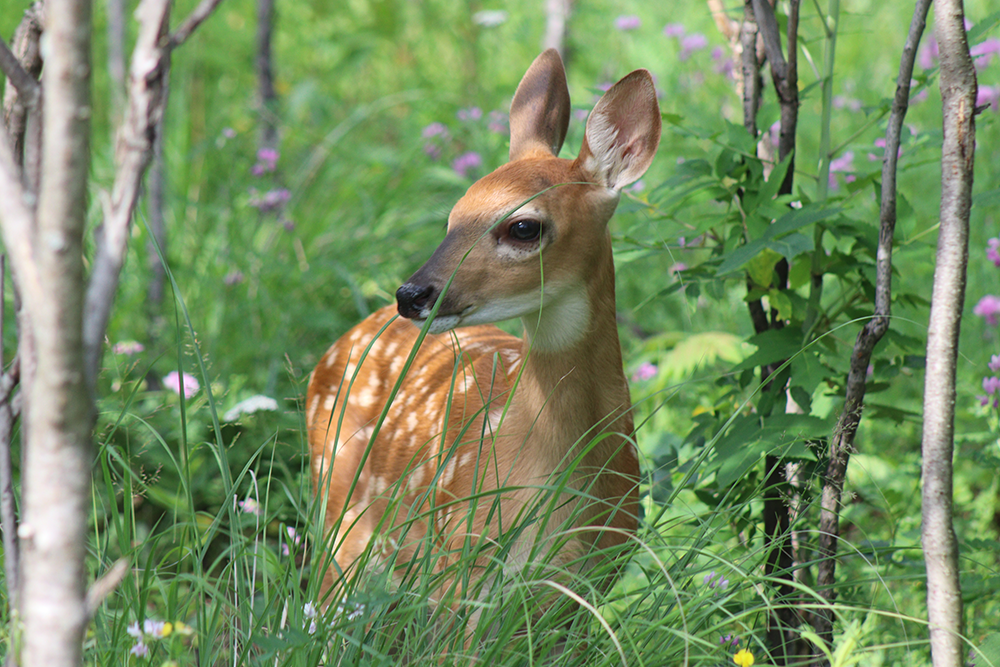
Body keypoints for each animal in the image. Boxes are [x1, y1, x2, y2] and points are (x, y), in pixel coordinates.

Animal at [306, 49, 661, 635]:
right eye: (454, 216)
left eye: (523, 227)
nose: (412, 295)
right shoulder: (459, 572)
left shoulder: (588, 587)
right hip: (339, 514)